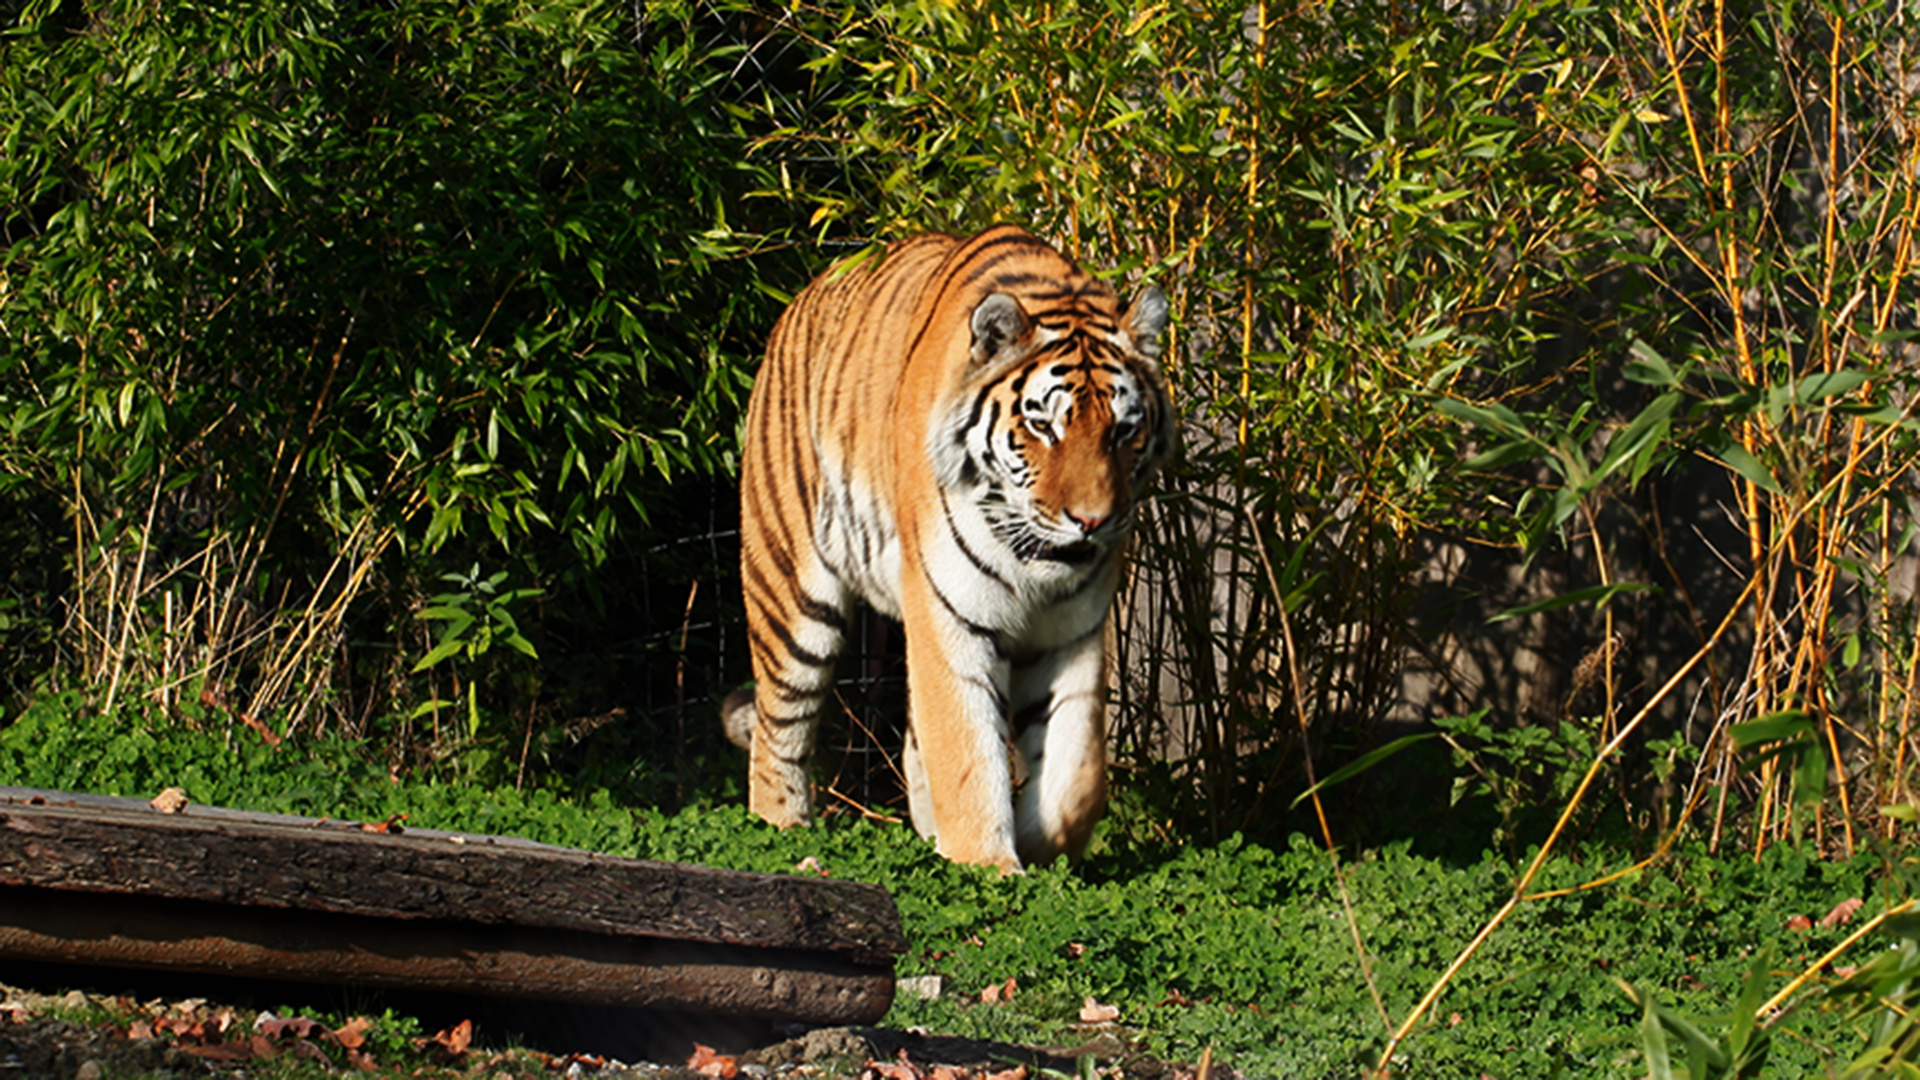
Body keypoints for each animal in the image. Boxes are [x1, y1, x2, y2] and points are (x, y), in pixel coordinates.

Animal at [721, 222, 1167, 868]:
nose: (1091, 520)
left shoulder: (1074, 630)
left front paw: (1038, 840)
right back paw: (786, 837)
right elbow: (966, 751)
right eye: (1043, 427)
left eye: (1124, 431)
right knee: (778, 731)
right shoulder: (950, 612)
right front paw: (990, 865)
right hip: (791, 597)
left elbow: (1077, 774)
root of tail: (801, 298)